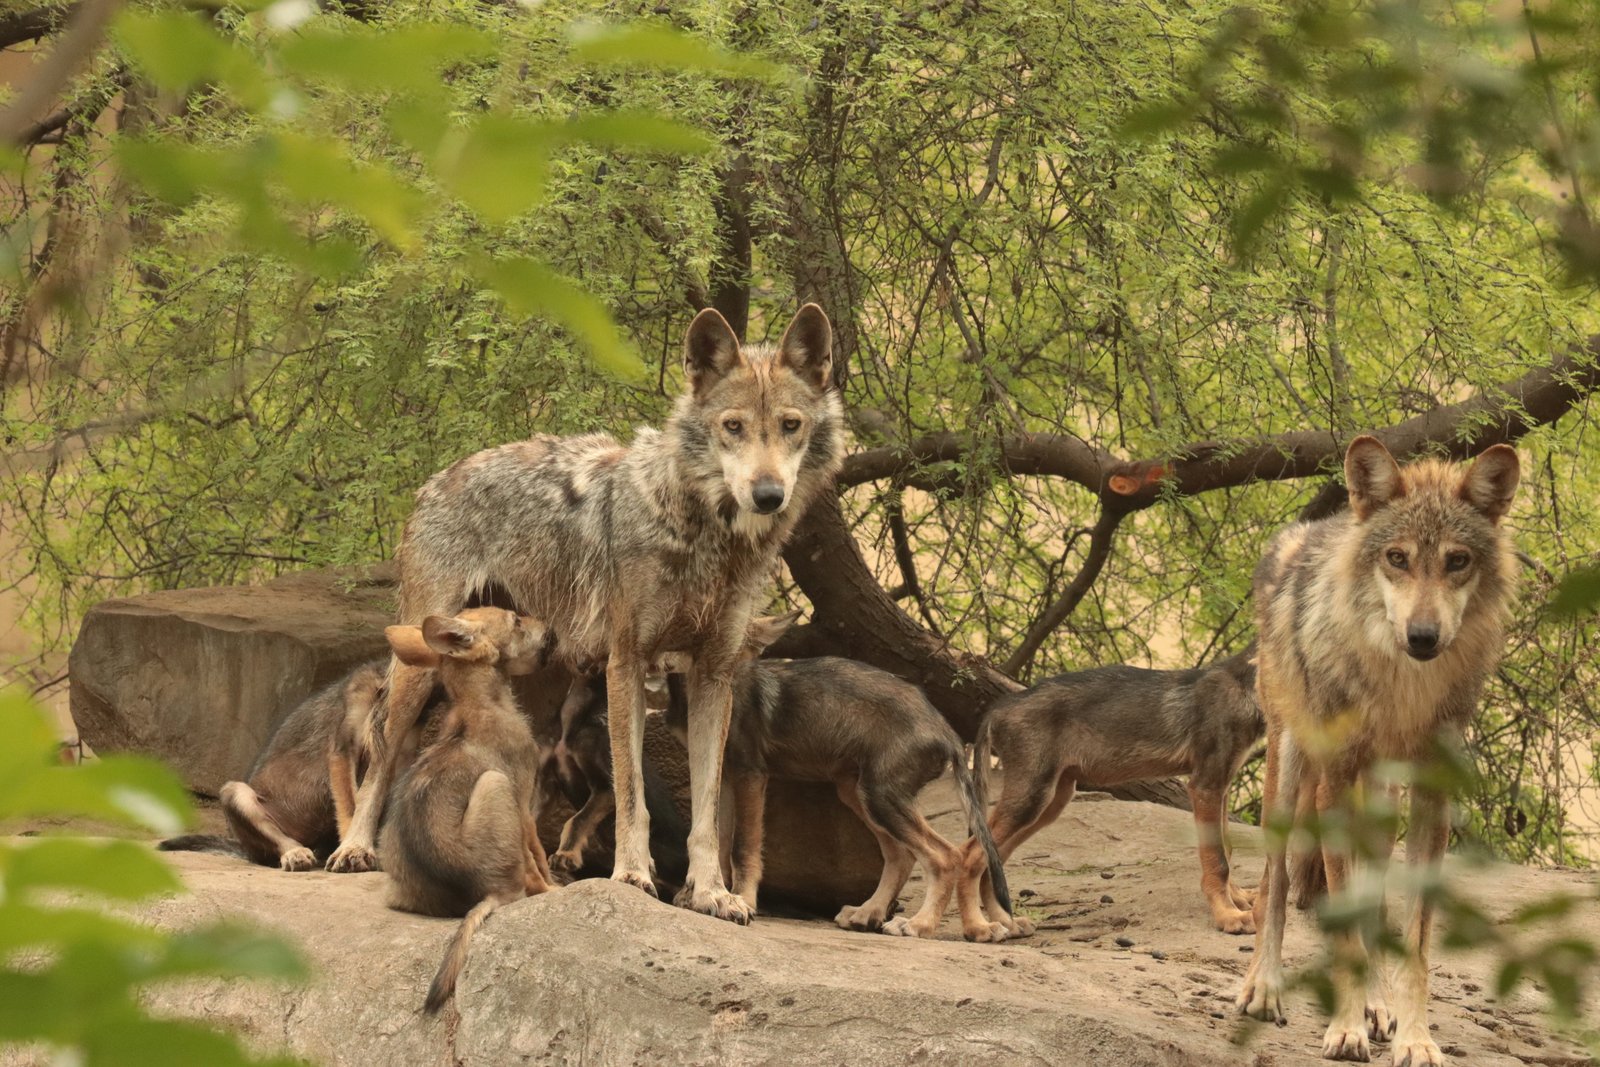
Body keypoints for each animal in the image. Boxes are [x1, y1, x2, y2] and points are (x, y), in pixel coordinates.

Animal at [326, 305, 844, 926]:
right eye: (733, 426)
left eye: (790, 425)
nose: (767, 495)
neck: (704, 536)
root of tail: (438, 477)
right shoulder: (627, 662)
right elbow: (632, 794)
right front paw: (632, 875)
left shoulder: (711, 675)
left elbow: (705, 816)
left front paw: (711, 894)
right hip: (418, 667)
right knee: (381, 757)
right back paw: (356, 849)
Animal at [379, 607, 558, 1013]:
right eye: (516, 620)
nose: (552, 628)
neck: (483, 702)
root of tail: (483, 891)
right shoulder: (524, 798)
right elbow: (539, 856)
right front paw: (556, 888)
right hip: (495, 784)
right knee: (520, 884)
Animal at [960, 646, 1262, 939]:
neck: (1245, 685)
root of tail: (998, 708)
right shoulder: (1205, 785)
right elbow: (1218, 860)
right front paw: (1228, 916)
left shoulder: (1220, 787)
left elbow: (1227, 851)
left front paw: (1237, 900)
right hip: (1031, 797)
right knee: (970, 853)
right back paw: (977, 928)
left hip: (1051, 801)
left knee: (991, 861)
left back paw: (1005, 923)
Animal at [1235, 436, 1520, 1066]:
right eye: (1397, 558)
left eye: (1457, 561)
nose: (1423, 637)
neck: (1400, 691)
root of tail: (1308, 529)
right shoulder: (1336, 780)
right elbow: (1337, 924)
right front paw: (1344, 1030)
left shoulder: (1432, 794)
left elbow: (1413, 939)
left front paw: (1414, 1036)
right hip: (1290, 773)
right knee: (1274, 884)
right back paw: (1263, 988)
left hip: (1383, 803)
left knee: (1374, 900)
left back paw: (1376, 1004)